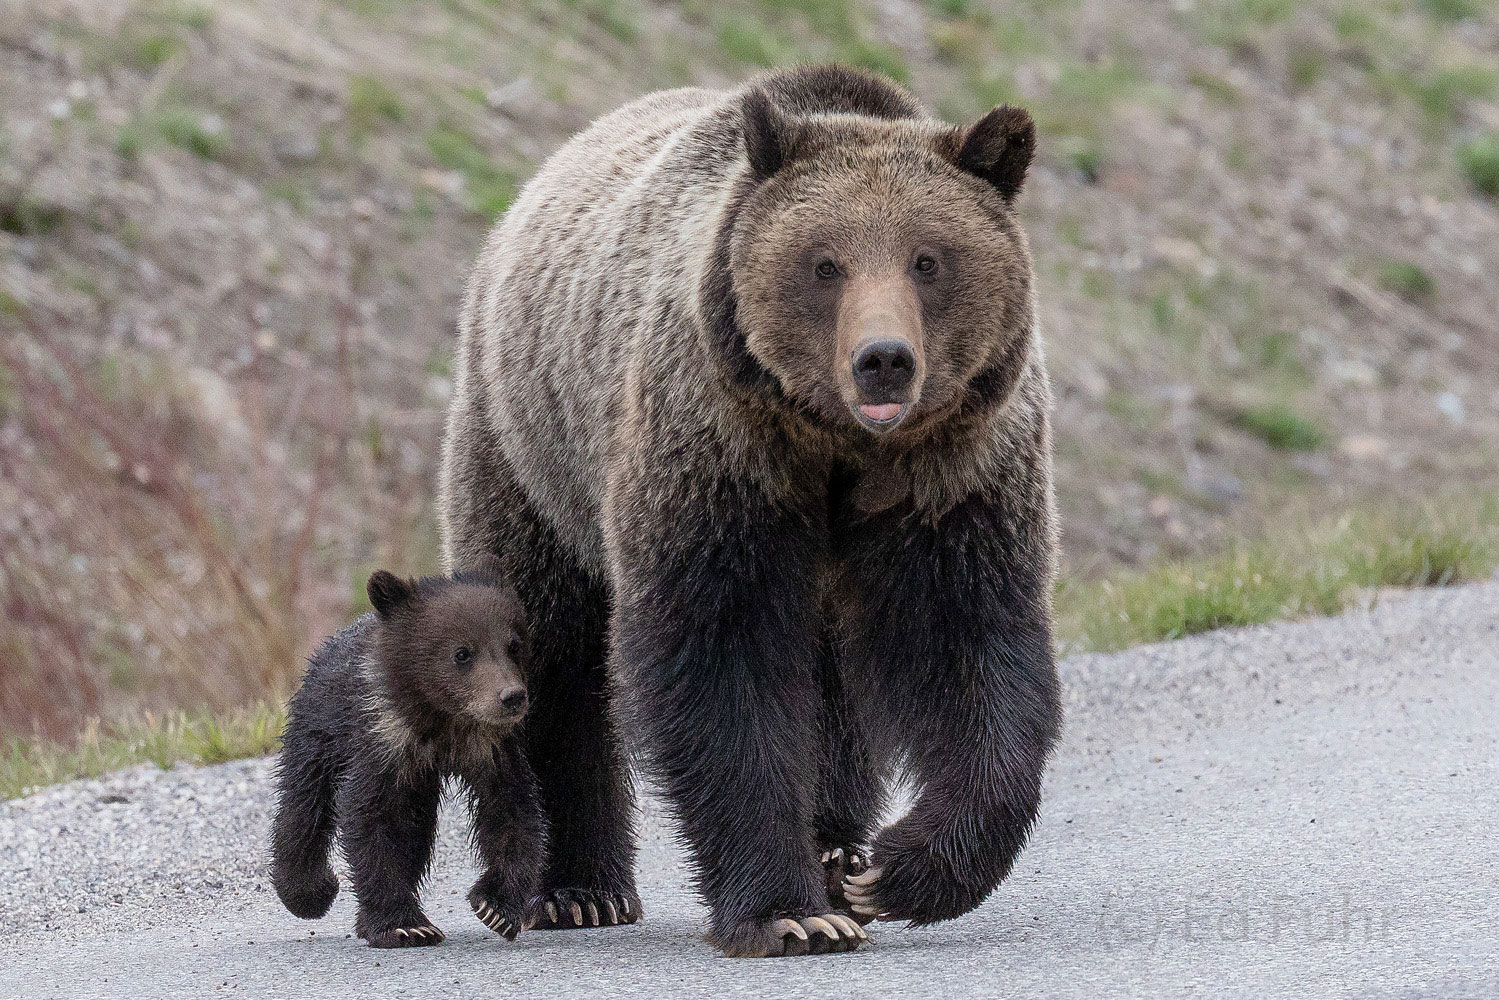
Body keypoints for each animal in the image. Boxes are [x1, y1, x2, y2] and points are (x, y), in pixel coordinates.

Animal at [269, 563, 551, 947]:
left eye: (514, 645)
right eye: (462, 652)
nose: (511, 697)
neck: (443, 722)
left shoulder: (492, 751)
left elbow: (513, 813)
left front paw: (496, 907)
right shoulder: (383, 743)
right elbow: (373, 820)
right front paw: (403, 924)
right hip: (319, 731)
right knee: (303, 804)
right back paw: (309, 891)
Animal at [437, 66, 1061, 959]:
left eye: (928, 259)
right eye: (825, 263)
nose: (882, 361)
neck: (836, 448)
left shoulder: (952, 475)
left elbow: (969, 648)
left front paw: (895, 871)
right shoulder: (719, 454)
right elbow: (720, 658)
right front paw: (789, 911)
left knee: (833, 680)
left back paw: (837, 844)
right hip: (532, 455)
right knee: (546, 651)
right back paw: (576, 888)